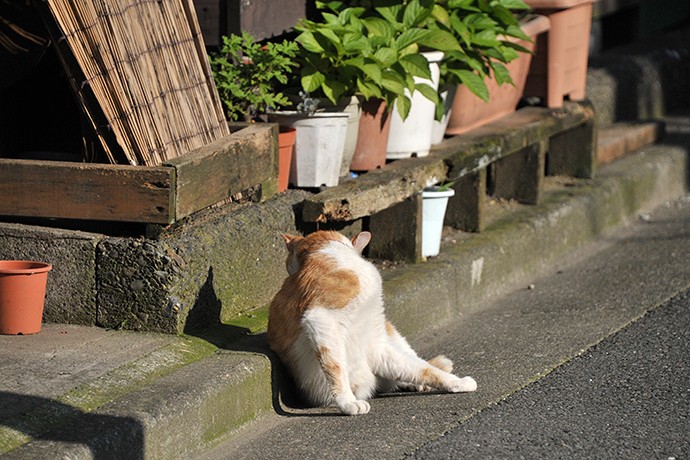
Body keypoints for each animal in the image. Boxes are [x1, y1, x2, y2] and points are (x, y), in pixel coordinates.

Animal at [266, 232, 476, 416]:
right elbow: (336, 368)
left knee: (415, 362)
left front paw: (456, 383)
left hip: (389, 331)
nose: (288, 272)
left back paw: (418, 382)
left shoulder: (376, 343)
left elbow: (422, 369)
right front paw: (348, 402)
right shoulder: (320, 319)